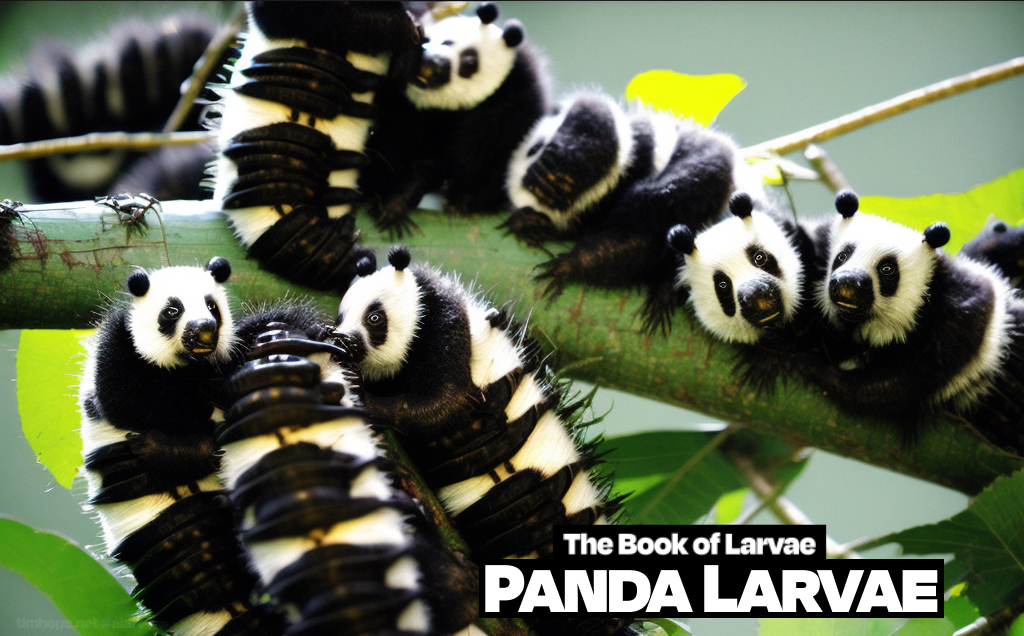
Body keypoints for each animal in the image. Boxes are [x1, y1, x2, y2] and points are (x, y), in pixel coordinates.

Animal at [332, 245, 636, 636]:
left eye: (374, 318)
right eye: (341, 315)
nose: (345, 340)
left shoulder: (449, 330)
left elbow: (446, 404)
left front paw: (362, 393)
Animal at [799, 191, 1024, 448]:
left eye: (887, 269)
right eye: (842, 256)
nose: (847, 283)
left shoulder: (961, 318)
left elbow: (901, 386)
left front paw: (814, 368)